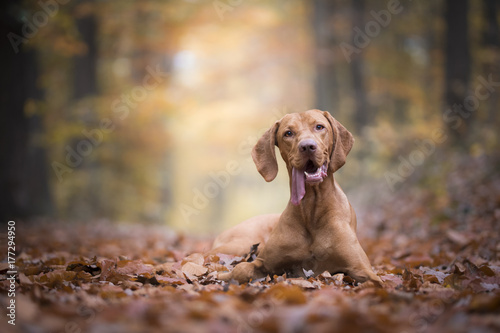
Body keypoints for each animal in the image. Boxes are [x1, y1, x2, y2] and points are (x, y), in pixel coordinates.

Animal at [212, 109, 382, 286]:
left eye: (319, 126)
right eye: (288, 133)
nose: (307, 146)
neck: (311, 209)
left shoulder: (362, 269)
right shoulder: (263, 262)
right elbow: (240, 269)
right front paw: (223, 277)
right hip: (240, 244)